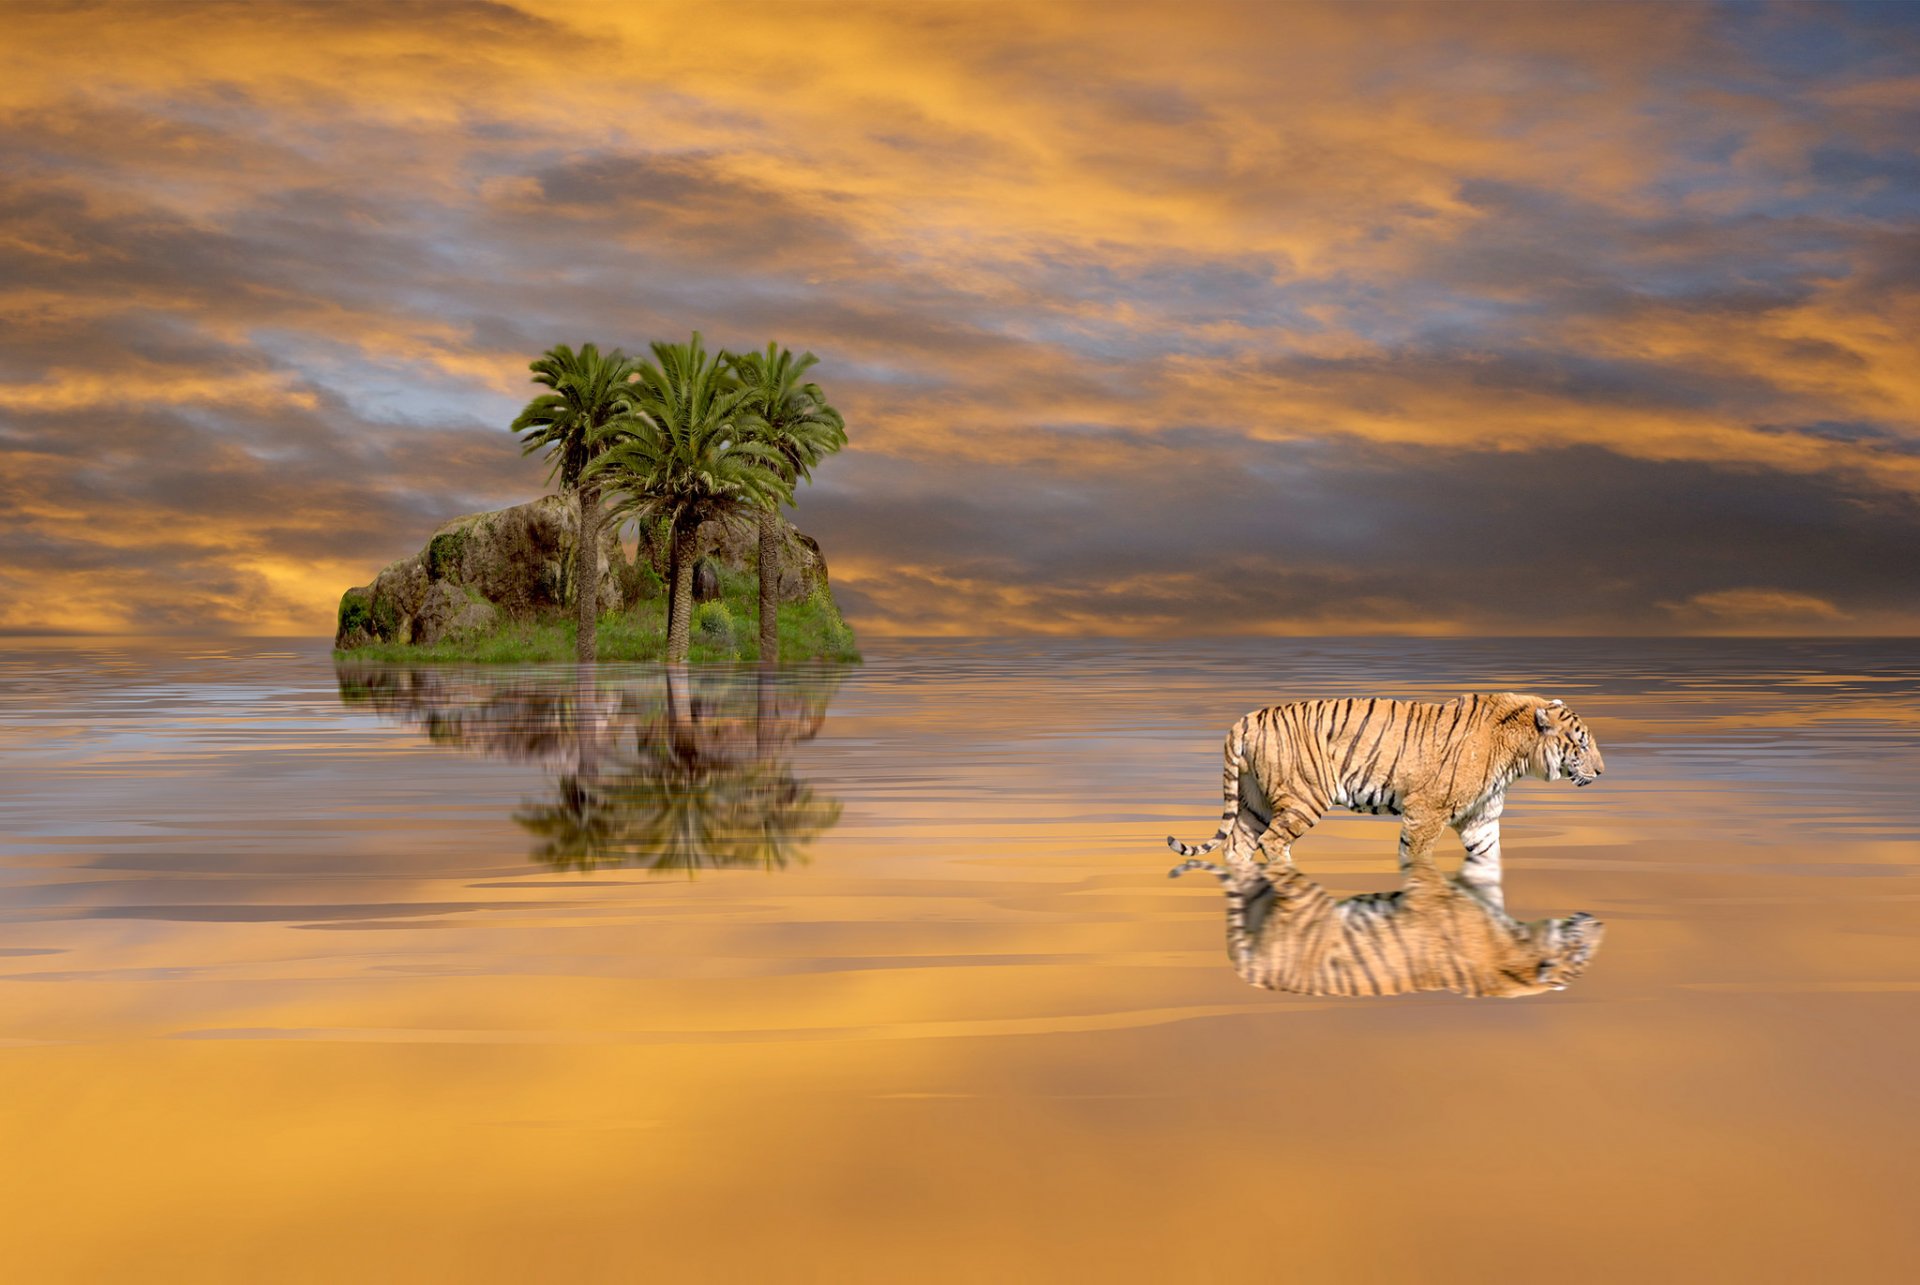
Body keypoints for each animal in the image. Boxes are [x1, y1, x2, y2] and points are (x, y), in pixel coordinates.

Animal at [1167, 691, 1605, 902]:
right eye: (1581, 744)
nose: (1602, 771)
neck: (1517, 756)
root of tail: (1247, 718)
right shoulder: (1426, 813)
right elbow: (1417, 859)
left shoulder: (1480, 820)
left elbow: (1488, 861)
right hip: (1303, 799)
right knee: (1272, 843)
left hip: (1252, 804)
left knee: (1237, 845)